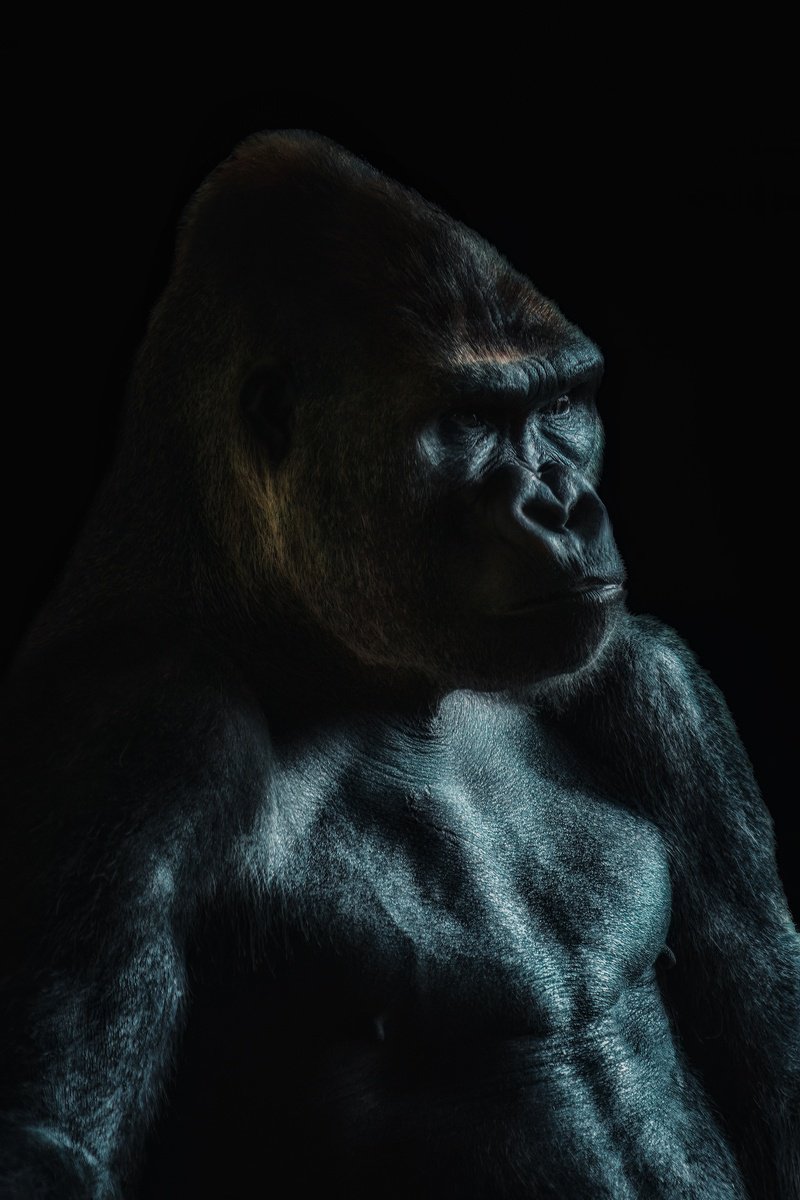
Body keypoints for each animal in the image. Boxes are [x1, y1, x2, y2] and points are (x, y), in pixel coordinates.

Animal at [0, 129, 797, 1199]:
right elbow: (51, 1132)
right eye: (466, 422)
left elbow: (767, 1015)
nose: (564, 504)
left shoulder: (656, 682)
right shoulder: (137, 727)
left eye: (561, 405)